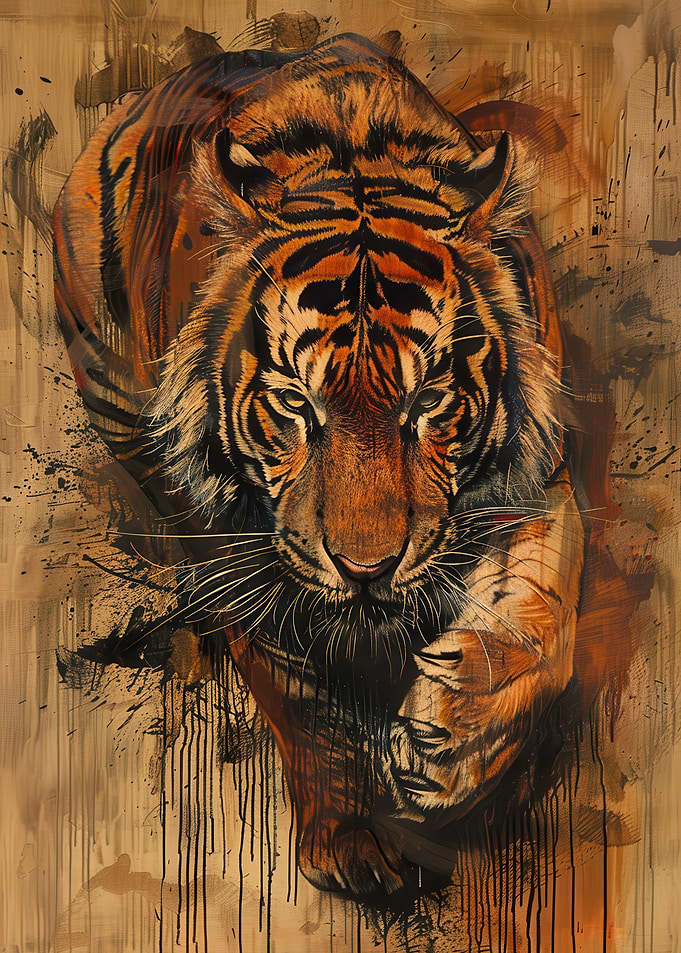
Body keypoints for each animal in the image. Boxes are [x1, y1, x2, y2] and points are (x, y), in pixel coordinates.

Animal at [53, 33, 585, 898]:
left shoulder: (535, 481)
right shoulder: (240, 544)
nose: (367, 569)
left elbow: (544, 622)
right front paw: (350, 840)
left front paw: (452, 740)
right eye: (295, 404)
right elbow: (301, 698)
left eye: (428, 399)